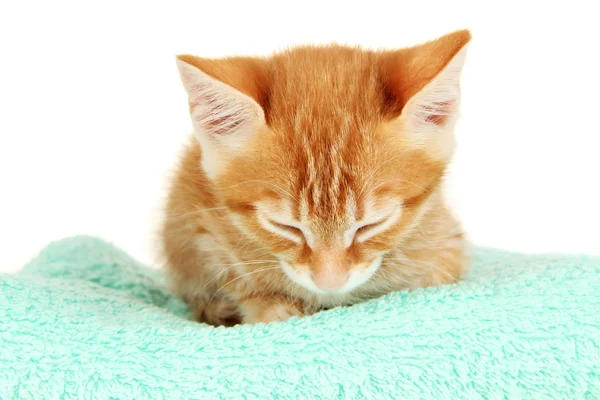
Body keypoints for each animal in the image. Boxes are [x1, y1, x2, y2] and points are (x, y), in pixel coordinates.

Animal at [162, 30, 472, 324]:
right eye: (285, 227)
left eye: (372, 226)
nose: (330, 283)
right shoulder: (201, 229)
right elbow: (236, 280)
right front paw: (272, 306)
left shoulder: (448, 240)